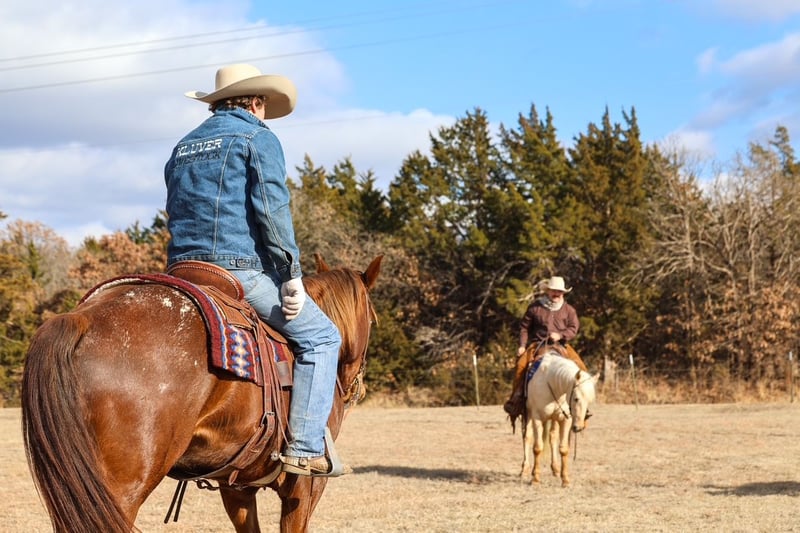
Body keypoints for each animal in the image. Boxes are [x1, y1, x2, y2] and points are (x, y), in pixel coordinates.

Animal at [21, 254, 382, 533]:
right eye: (374, 319)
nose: (356, 386)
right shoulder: (305, 488)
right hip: (120, 492)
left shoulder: (236, 487)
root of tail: (80, 319)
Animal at [519, 351, 598, 487]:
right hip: (527, 414)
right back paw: (525, 469)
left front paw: (565, 479)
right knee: (527, 437)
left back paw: (555, 469)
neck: (553, 384)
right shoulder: (537, 418)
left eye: (589, 401)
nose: (579, 427)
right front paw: (535, 479)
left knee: (552, 438)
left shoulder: (565, 420)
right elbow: (537, 447)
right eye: (576, 398)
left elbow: (563, 449)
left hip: (554, 419)